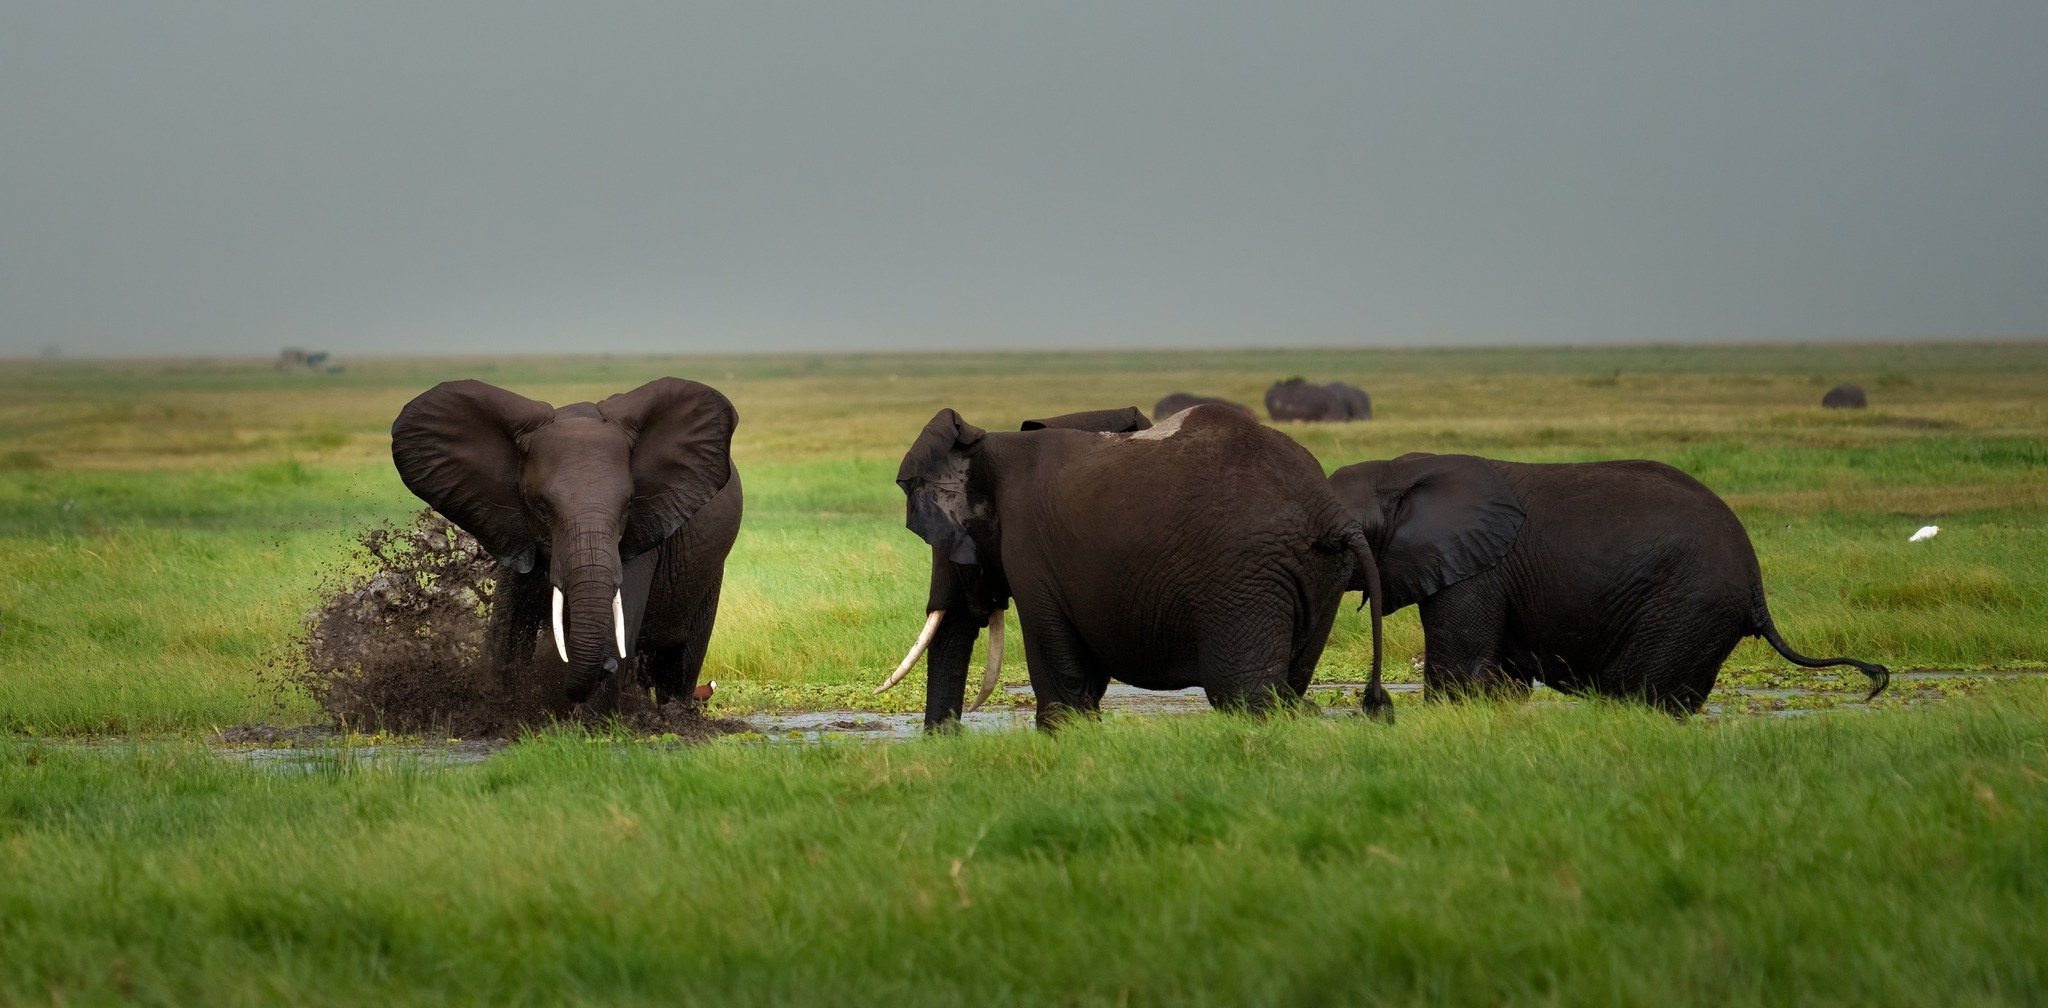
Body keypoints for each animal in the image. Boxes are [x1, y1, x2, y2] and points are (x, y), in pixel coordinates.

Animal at [387, 374, 741, 712]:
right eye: (541, 506)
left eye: (628, 505)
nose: (607, 666)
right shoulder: (515, 530)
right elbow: (506, 632)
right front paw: (502, 712)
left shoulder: (641, 534)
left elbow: (622, 622)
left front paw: (589, 726)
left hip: (709, 573)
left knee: (680, 663)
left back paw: (674, 716)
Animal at [872, 403, 1384, 733]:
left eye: (953, 543)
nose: (948, 739)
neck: (992, 448)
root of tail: (1330, 513)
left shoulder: (1031, 552)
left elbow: (1060, 667)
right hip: (1317, 577)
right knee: (1288, 684)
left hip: (1244, 577)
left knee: (1243, 695)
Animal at [1327, 452, 1884, 712]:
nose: (1375, 702)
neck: (1399, 473)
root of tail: (1756, 588)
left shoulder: (1476, 570)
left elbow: (1459, 669)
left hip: (1685, 606)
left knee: (1641, 693)